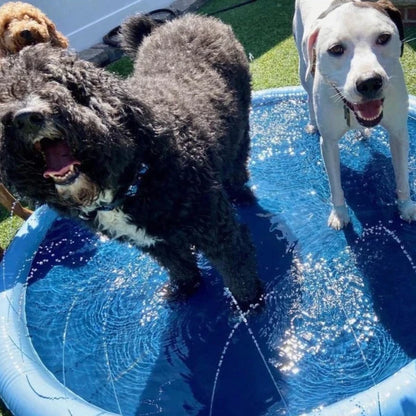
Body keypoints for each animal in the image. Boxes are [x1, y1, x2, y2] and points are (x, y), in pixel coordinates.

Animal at [0, 13, 262, 308]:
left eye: (58, 81)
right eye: (3, 96)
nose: (24, 117)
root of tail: (189, 19)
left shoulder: (216, 229)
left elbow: (237, 271)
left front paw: (252, 305)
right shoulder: (155, 242)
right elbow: (180, 266)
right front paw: (185, 288)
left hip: (240, 128)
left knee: (237, 164)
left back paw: (241, 193)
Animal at [292, 0, 416, 229]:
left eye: (383, 38)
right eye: (336, 49)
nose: (369, 82)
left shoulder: (399, 133)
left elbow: (402, 176)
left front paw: (406, 206)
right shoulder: (329, 143)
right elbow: (335, 186)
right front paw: (339, 214)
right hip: (303, 67)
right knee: (308, 94)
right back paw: (312, 123)